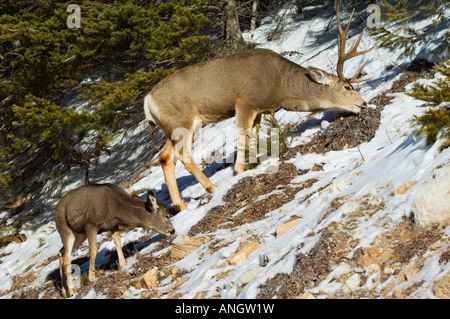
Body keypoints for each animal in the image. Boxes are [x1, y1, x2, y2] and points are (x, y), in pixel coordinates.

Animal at [144, 6, 372, 211]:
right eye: (347, 87)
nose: (363, 103)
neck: (281, 86)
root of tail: (148, 99)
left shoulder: (260, 110)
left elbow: (252, 135)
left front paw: (254, 163)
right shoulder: (246, 101)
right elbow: (242, 134)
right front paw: (239, 170)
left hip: (170, 128)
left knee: (165, 157)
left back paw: (180, 204)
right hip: (183, 120)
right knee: (184, 155)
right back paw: (211, 187)